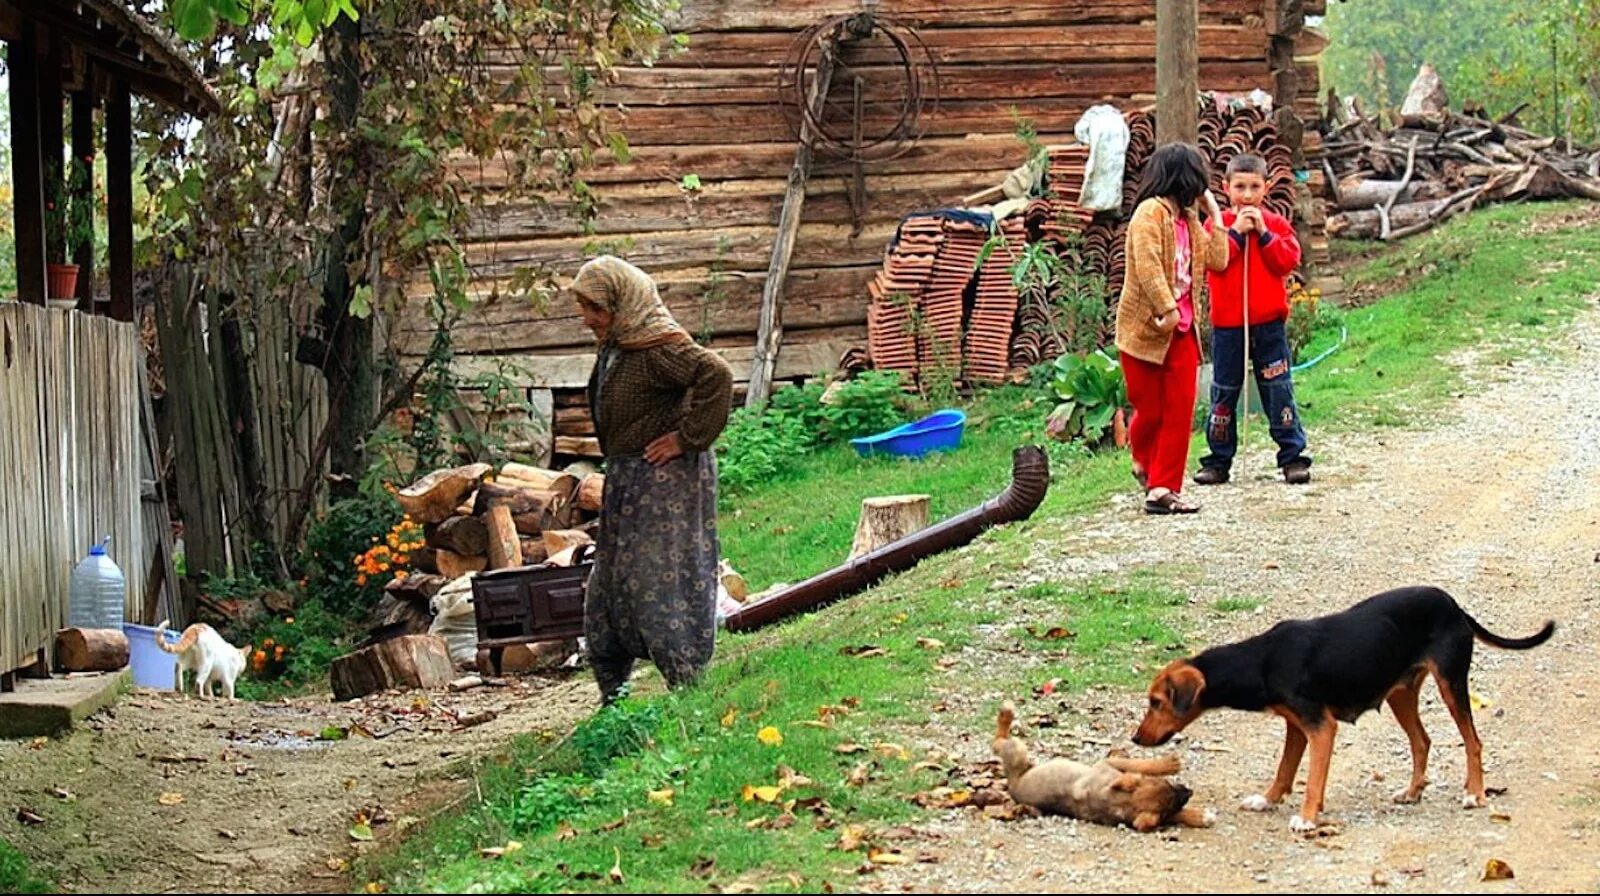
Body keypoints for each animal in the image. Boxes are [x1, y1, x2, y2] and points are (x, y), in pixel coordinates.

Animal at [985, 700, 1209, 832]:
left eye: (1169, 786)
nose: (1189, 791)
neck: (1115, 800)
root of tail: (1012, 785)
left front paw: (1198, 816)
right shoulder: (1108, 763)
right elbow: (1140, 764)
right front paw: (1170, 763)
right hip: (1017, 750)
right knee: (998, 742)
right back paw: (1006, 714)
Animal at [1132, 588, 1555, 832]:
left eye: (1156, 703)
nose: (1135, 738)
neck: (1262, 660)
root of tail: (1453, 604)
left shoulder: (1320, 727)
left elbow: (1313, 779)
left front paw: (1307, 818)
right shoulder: (1296, 726)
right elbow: (1284, 770)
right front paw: (1267, 800)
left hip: (1451, 681)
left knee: (1473, 741)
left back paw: (1474, 793)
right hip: (1401, 692)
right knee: (1422, 741)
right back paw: (1412, 791)